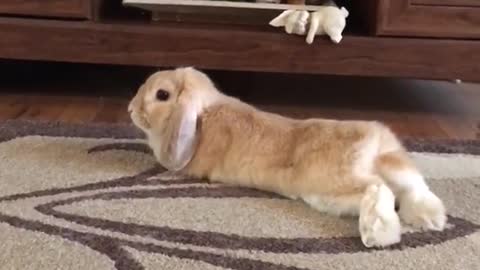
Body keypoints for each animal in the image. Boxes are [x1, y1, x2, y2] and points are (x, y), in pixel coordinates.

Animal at [127, 66, 446, 248]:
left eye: (162, 95)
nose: (131, 109)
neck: (204, 112)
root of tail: (374, 141)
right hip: (351, 184)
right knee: (411, 187)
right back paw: (430, 219)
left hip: (331, 185)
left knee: (381, 189)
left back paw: (377, 234)